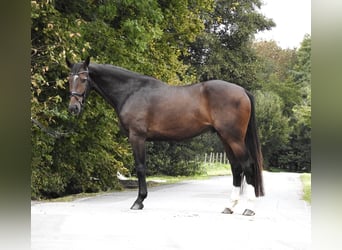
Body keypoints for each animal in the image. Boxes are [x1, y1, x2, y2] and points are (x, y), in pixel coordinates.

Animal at [67, 56, 264, 215]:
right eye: (69, 79)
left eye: (83, 79)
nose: (73, 108)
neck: (131, 92)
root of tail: (242, 91)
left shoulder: (137, 137)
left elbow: (140, 167)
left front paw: (139, 201)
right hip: (225, 138)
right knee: (236, 169)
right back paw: (229, 206)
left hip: (234, 139)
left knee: (248, 166)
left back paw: (249, 208)